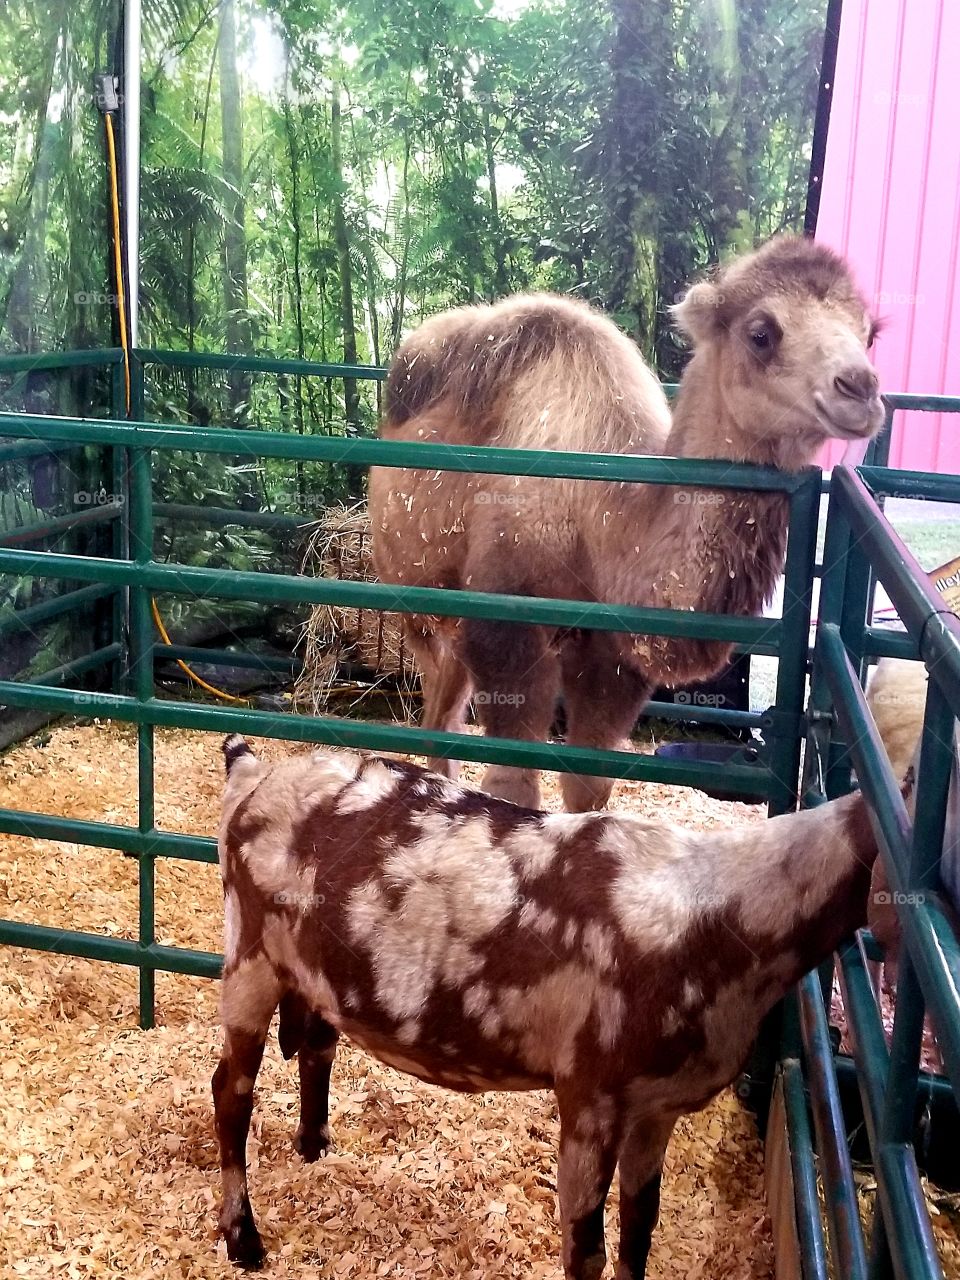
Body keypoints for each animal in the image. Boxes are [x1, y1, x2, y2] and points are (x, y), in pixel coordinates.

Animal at [213, 734, 884, 1277]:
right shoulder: (590, 1099)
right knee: (231, 1092)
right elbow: (585, 1251)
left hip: (313, 972)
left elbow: (641, 1226)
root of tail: (250, 773)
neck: (725, 908)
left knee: (316, 1046)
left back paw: (315, 1147)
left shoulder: (656, 1108)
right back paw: (243, 1239)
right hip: (248, 954)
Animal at [369, 236, 884, 811]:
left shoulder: (614, 658)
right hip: (415, 602)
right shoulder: (506, 627)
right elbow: (514, 785)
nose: (859, 388)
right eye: (761, 333)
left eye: (870, 333)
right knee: (437, 711)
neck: (601, 520)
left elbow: (589, 787)